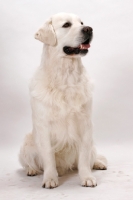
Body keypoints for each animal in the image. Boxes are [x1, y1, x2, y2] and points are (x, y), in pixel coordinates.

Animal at [19, 12, 107, 189]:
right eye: (66, 25)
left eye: (82, 23)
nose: (89, 29)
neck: (66, 75)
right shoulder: (44, 126)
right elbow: (48, 156)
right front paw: (50, 178)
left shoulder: (85, 124)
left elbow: (84, 157)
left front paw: (87, 177)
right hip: (27, 143)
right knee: (29, 163)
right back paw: (32, 170)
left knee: (92, 156)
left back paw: (99, 163)